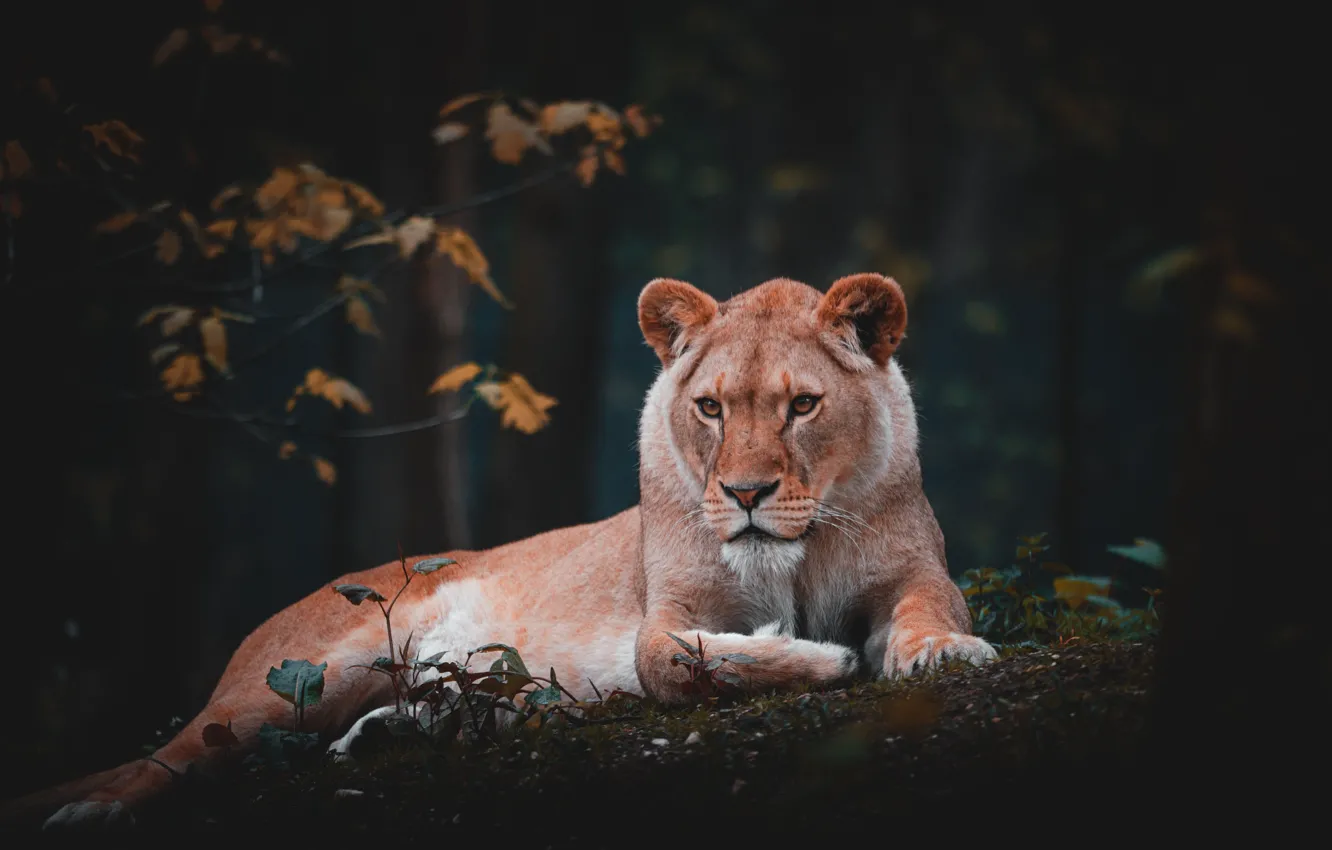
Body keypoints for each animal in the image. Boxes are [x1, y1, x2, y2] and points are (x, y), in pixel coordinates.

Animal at [6, 272, 995, 830]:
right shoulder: (668, 613)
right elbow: (680, 661)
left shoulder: (914, 572)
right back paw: (89, 810)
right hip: (296, 680)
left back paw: (394, 734)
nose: (746, 495)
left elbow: (927, 611)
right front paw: (816, 656)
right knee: (169, 757)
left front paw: (942, 652)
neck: (799, 548)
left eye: (802, 405)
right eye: (711, 407)